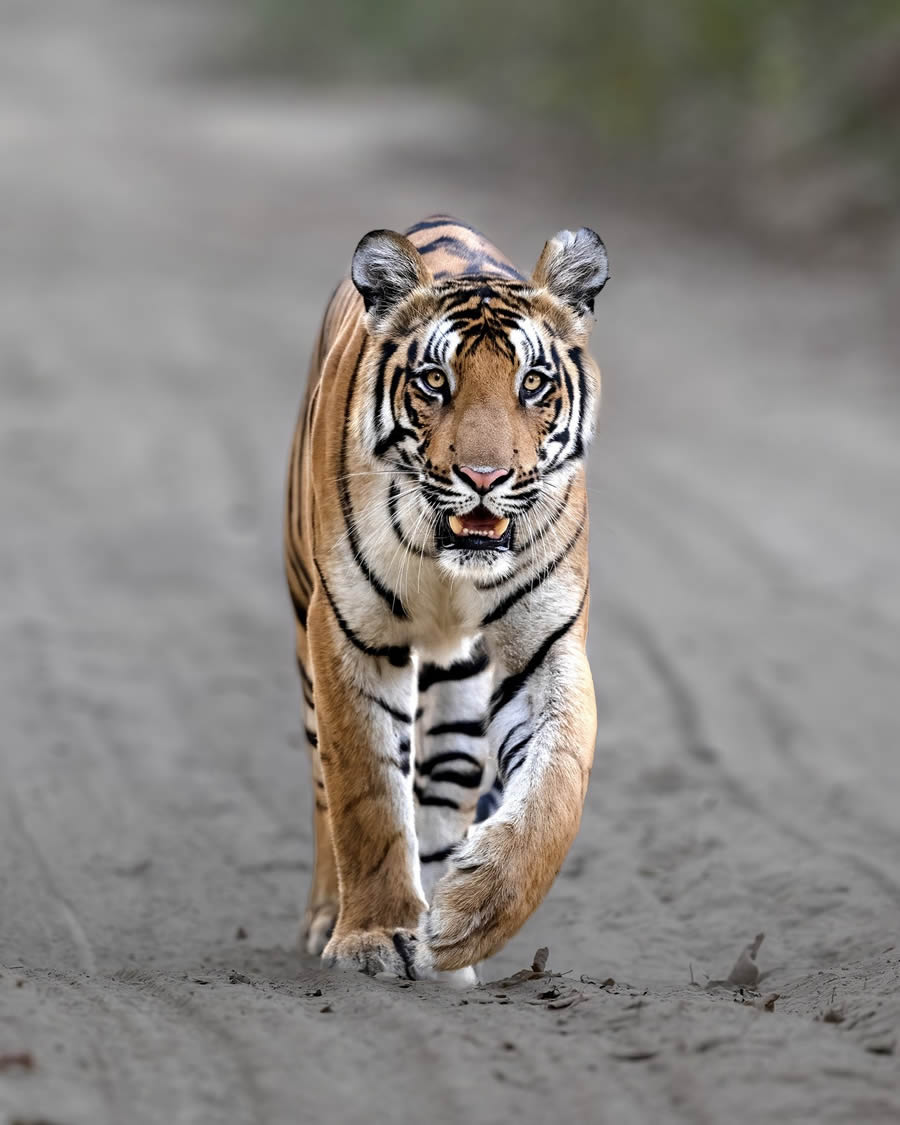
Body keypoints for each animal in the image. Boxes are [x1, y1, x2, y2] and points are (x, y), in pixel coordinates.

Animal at [283, 212, 603, 985]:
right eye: (435, 380)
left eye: (533, 383)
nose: (484, 478)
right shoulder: (350, 634)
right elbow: (365, 792)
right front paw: (371, 935)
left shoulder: (546, 646)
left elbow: (556, 788)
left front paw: (468, 919)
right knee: (324, 791)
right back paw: (329, 917)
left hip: (461, 684)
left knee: (440, 790)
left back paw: (441, 951)